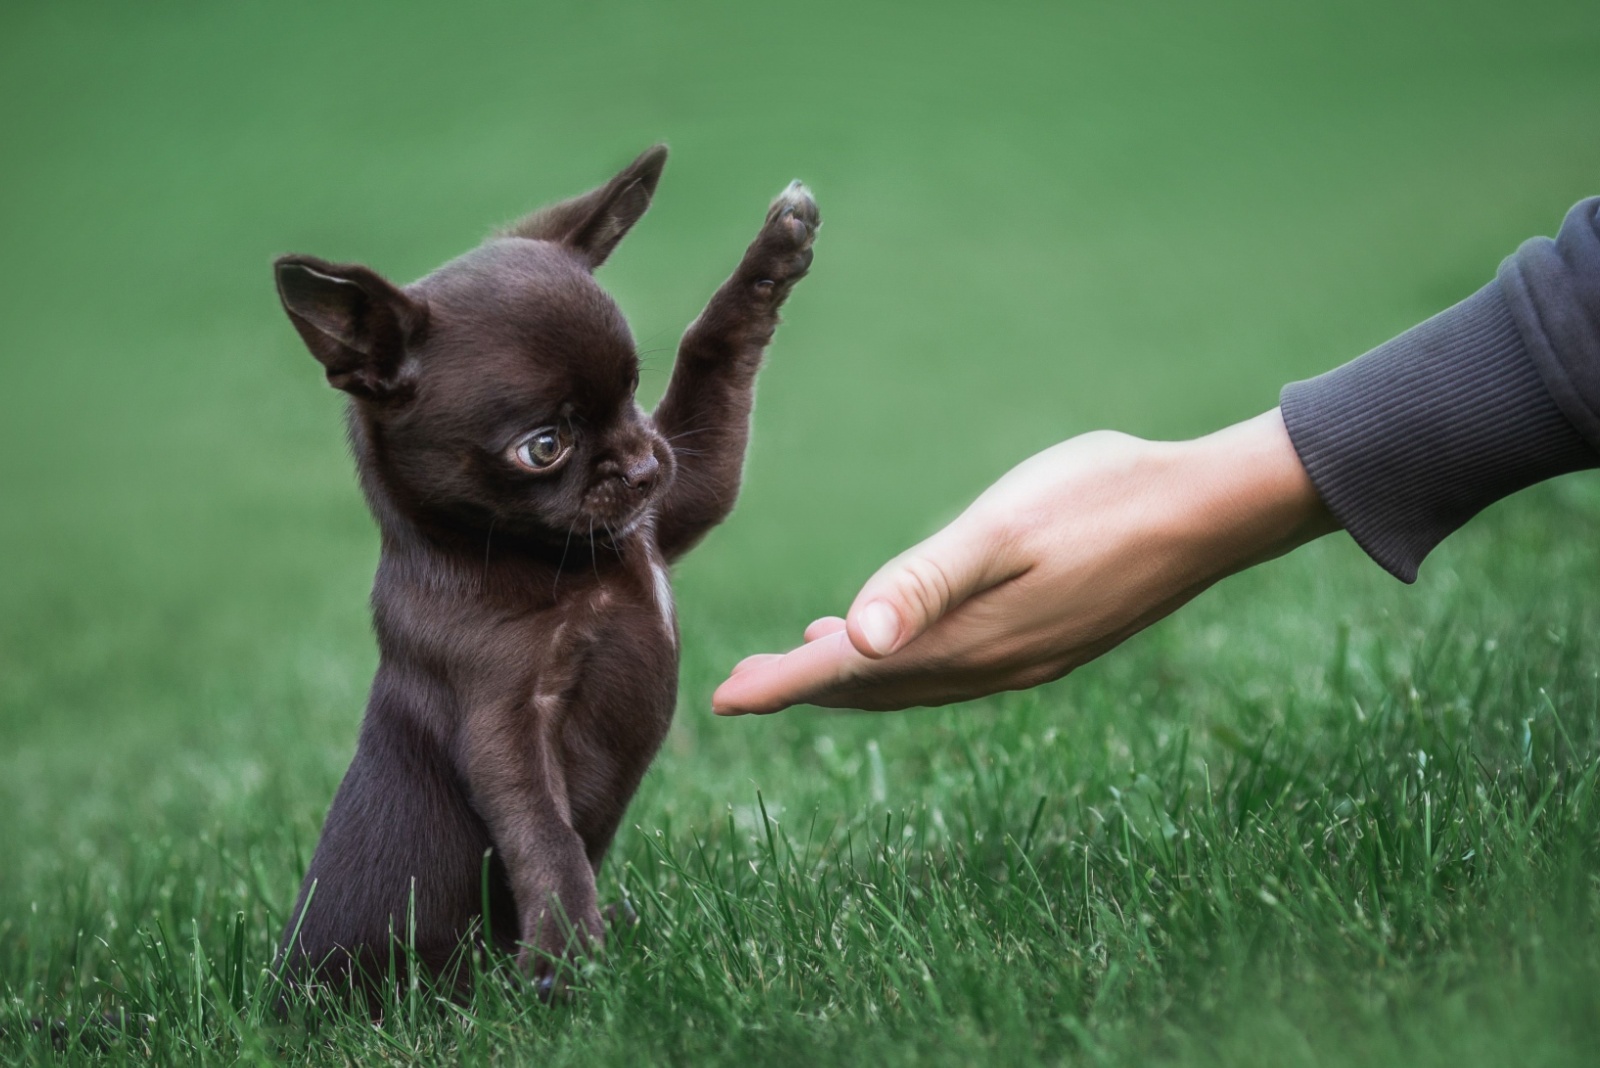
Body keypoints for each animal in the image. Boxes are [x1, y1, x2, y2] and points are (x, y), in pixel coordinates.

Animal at [272, 143, 812, 1004]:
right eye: (544, 447)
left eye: (632, 390)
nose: (642, 464)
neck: (550, 557)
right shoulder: (505, 717)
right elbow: (544, 834)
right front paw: (564, 949)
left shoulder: (677, 499)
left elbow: (711, 353)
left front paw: (775, 255)